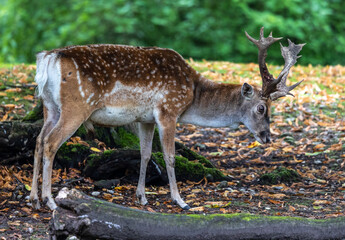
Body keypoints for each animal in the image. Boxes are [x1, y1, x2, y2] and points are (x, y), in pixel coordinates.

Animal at [29, 27, 304, 209]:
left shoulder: (146, 119)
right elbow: (170, 157)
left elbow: (145, 154)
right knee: (51, 142)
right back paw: (50, 201)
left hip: (50, 106)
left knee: (39, 140)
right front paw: (180, 200)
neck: (192, 93)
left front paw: (141, 196)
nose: (267, 137)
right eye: (261, 108)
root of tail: (47, 59)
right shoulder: (168, 110)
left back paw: (33, 198)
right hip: (76, 106)